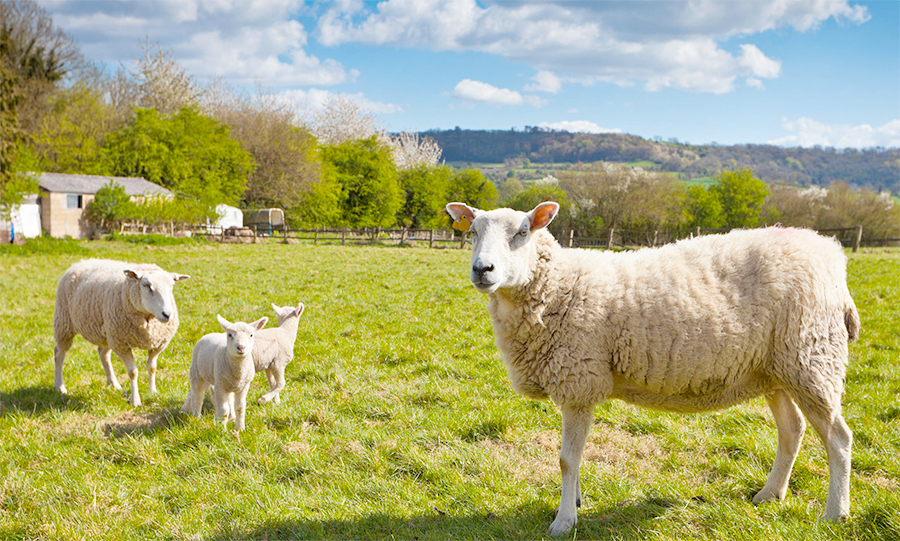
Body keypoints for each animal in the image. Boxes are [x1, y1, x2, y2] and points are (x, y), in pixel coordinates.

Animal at [53, 258, 190, 407]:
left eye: (171, 286)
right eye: (146, 285)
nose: (167, 314)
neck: (148, 317)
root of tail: (82, 261)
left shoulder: (158, 344)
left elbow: (152, 367)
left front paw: (152, 392)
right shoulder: (122, 344)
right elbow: (133, 372)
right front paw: (135, 400)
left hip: (106, 332)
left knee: (103, 353)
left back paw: (113, 384)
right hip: (64, 323)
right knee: (59, 353)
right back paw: (59, 386)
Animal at [445, 201, 860, 536]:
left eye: (522, 232)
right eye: (472, 231)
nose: (483, 269)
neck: (560, 287)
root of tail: (831, 254)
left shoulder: (579, 380)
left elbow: (566, 459)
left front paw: (563, 522)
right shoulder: (578, 386)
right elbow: (573, 458)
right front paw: (574, 503)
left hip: (812, 359)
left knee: (838, 438)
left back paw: (835, 514)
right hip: (776, 370)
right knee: (792, 430)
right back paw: (769, 494)